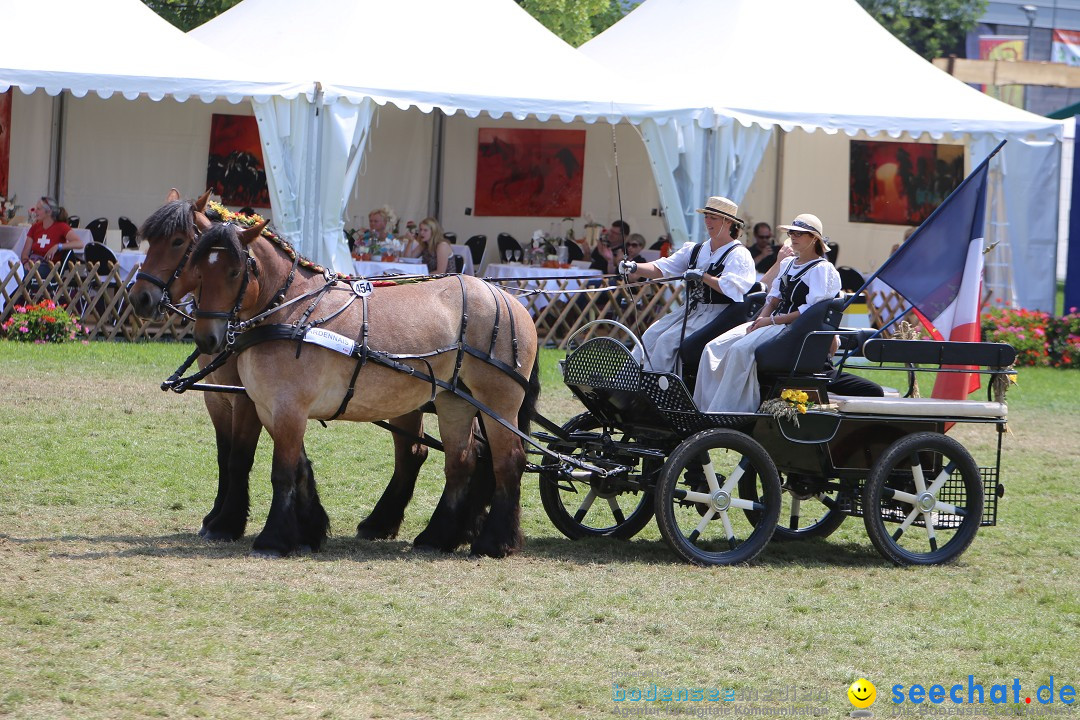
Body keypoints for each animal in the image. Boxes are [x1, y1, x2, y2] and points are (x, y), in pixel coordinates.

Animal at [127, 191, 464, 552]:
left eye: (177, 241)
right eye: (150, 240)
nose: (140, 298)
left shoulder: (250, 400)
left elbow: (240, 458)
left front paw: (230, 523)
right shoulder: (226, 400)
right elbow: (232, 455)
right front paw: (304, 523)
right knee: (414, 453)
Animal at [185, 220, 544, 557]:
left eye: (234, 271)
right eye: (197, 269)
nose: (207, 339)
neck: (290, 313)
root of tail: (508, 298)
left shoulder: (288, 408)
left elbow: (282, 472)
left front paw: (273, 539)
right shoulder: (268, 408)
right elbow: (298, 469)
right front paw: (307, 532)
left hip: (498, 403)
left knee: (508, 460)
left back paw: (496, 541)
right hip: (455, 401)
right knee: (461, 462)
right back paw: (436, 537)